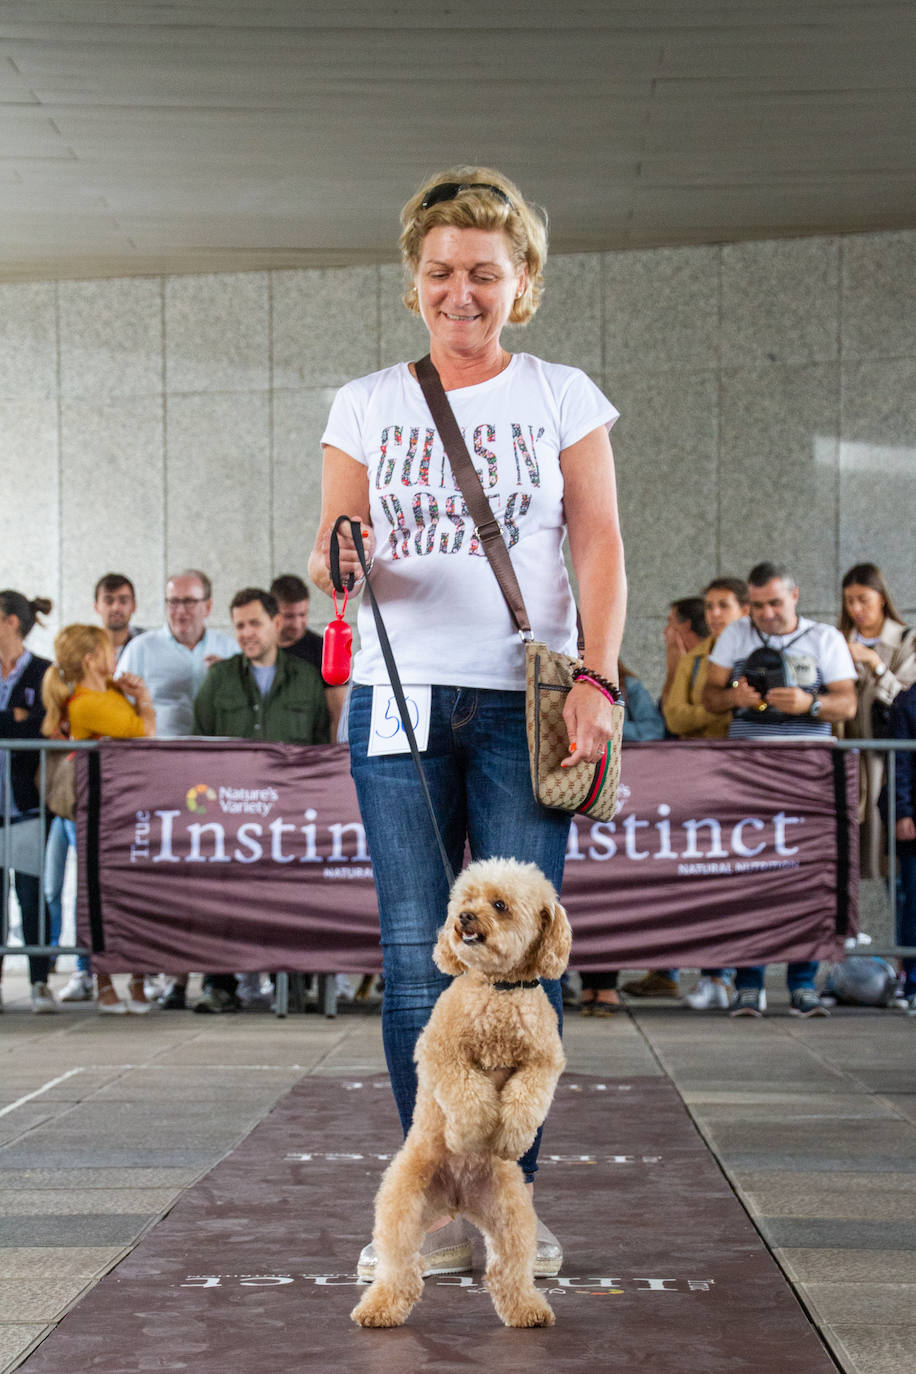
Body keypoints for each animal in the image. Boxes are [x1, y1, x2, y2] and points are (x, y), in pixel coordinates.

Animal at [354, 857, 574, 1330]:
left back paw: (528, 1310)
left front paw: (509, 1136)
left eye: (500, 904)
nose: (464, 918)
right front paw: (470, 1133)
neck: (499, 989)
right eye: (464, 899)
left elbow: (525, 1097)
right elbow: (469, 1093)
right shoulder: (441, 1052)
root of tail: (456, 1199)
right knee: (399, 1269)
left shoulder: (543, 1062)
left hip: (511, 1218)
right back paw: (378, 1309)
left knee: (507, 1272)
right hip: (402, 1207)